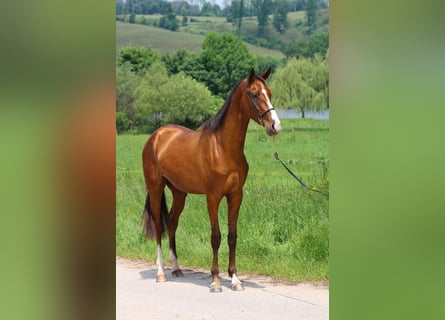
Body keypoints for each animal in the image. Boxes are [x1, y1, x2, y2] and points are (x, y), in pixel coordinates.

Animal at [142, 68, 280, 292]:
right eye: (254, 94)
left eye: (269, 92)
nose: (275, 126)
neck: (222, 148)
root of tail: (156, 136)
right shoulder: (212, 197)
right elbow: (216, 237)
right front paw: (215, 280)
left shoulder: (235, 196)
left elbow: (232, 236)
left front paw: (235, 279)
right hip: (155, 189)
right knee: (159, 227)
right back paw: (161, 272)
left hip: (179, 193)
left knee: (171, 223)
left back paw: (177, 268)